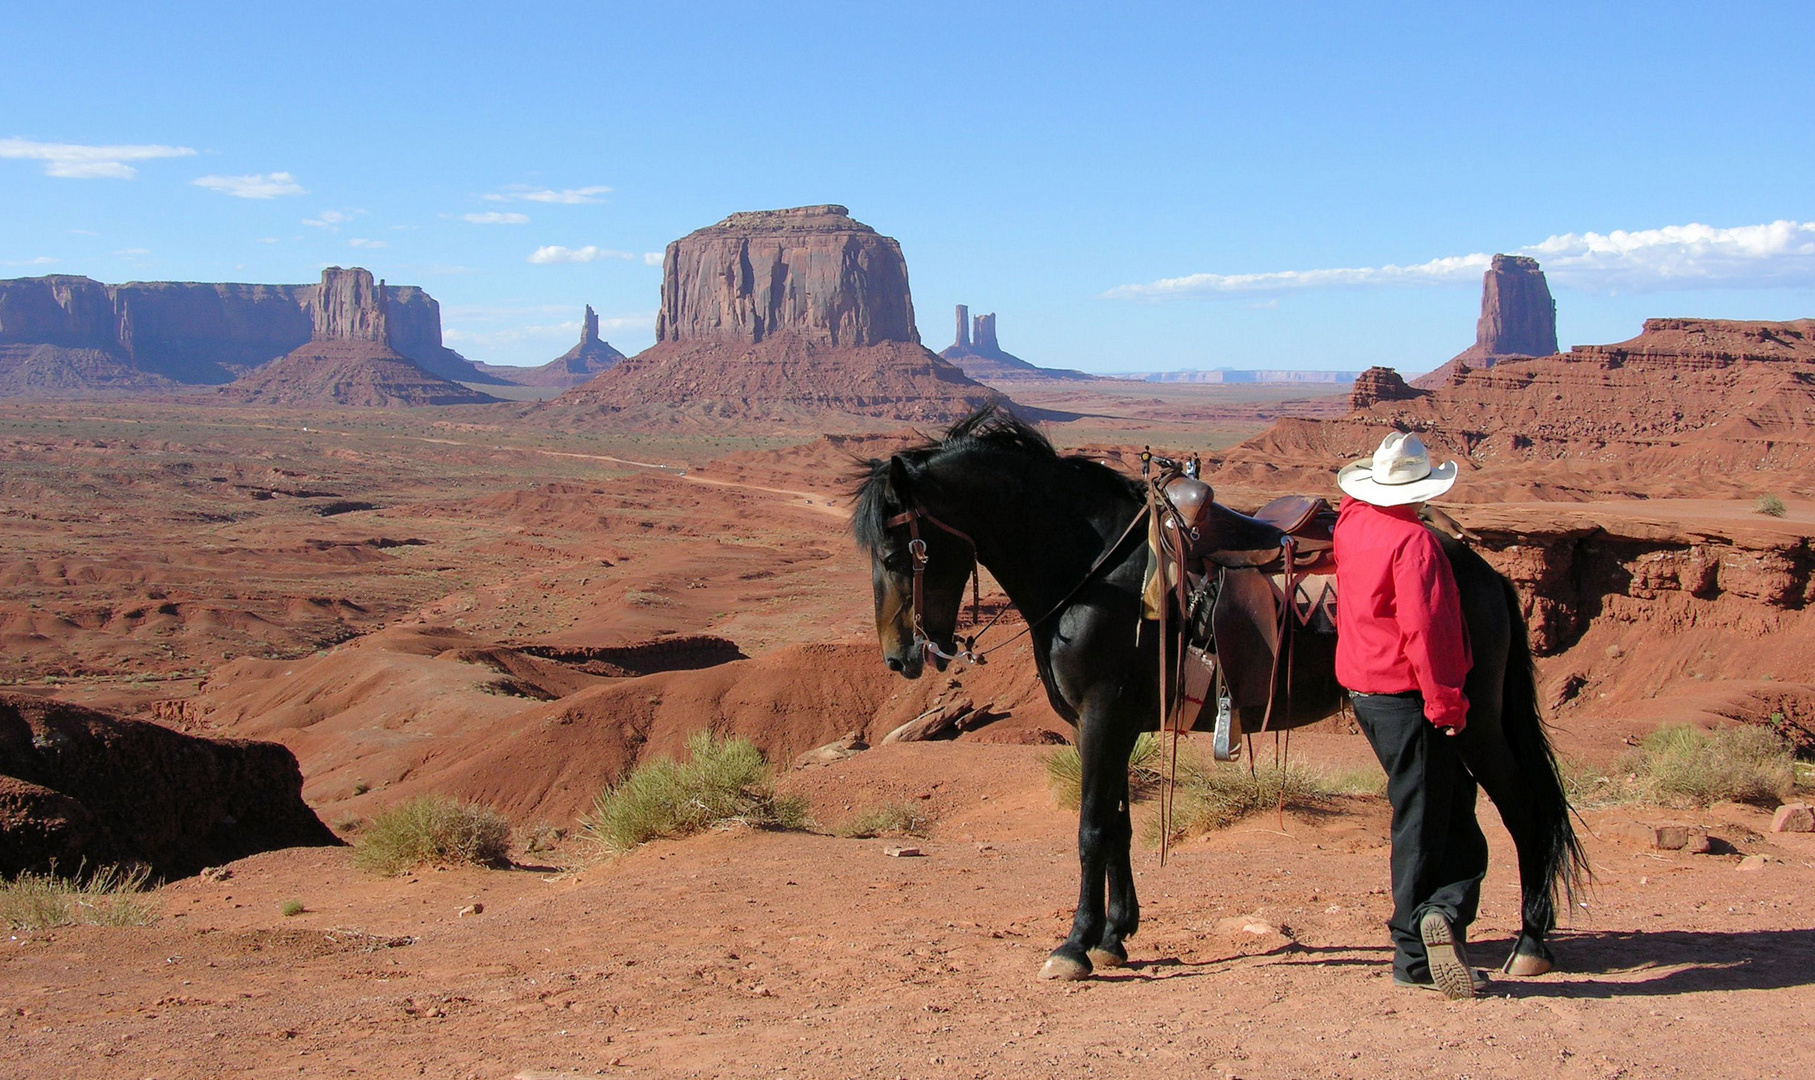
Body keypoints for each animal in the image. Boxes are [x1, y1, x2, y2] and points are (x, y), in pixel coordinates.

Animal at [856, 406, 1582, 980]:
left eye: (897, 554)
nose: (898, 657)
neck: (1095, 571)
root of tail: (1484, 572)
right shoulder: (1120, 723)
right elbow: (1119, 824)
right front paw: (1115, 935)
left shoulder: (1099, 717)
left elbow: (1092, 828)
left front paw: (1074, 946)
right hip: (1444, 724)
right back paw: (1451, 932)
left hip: (1476, 720)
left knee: (1523, 810)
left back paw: (1528, 944)